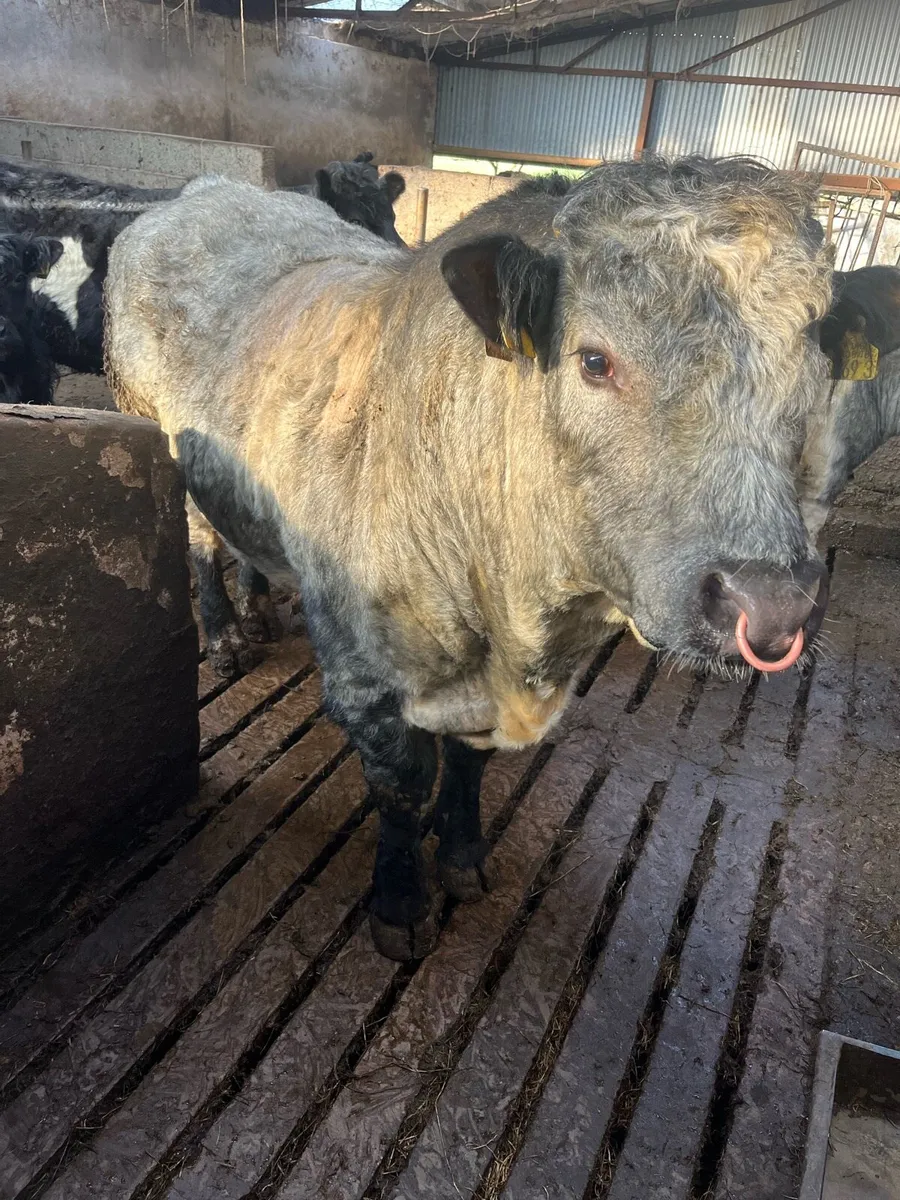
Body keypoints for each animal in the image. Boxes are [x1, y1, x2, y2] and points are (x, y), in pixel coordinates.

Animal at [105, 156, 833, 961]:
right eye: (594, 360)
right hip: (156, 432)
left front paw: (462, 856)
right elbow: (399, 783)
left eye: (813, 362)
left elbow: (467, 764)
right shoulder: (363, 671)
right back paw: (228, 633)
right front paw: (400, 902)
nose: (769, 602)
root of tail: (203, 192)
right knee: (200, 539)